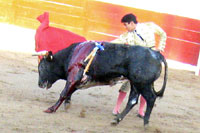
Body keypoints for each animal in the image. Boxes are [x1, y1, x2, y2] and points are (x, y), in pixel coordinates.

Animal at [37, 41, 167, 125]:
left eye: (42, 67)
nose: (39, 84)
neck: (73, 53)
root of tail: (157, 54)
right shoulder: (79, 79)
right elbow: (70, 91)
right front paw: (67, 104)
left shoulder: (74, 76)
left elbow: (64, 93)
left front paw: (51, 109)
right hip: (135, 84)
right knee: (132, 100)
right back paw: (116, 120)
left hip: (143, 84)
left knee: (150, 98)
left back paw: (145, 123)